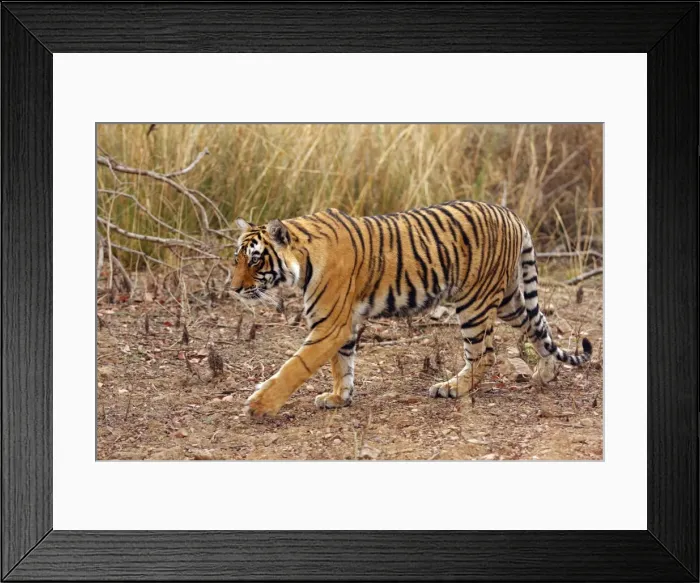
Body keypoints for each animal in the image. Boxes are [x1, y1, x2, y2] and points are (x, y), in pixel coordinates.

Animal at [231, 200, 592, 417]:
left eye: (255, 259)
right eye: (237, 259)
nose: (232, 288)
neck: (302, 260)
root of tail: (511, 214)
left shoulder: (330, 324)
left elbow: (296, 366)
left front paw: (259, 404)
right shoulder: (343, 325)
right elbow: (341, 365)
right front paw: (339, 397)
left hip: (474, 302)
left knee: (485, 354)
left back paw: (451, 388)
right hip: (509, 300)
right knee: (539, 327)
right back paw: (545, 374)